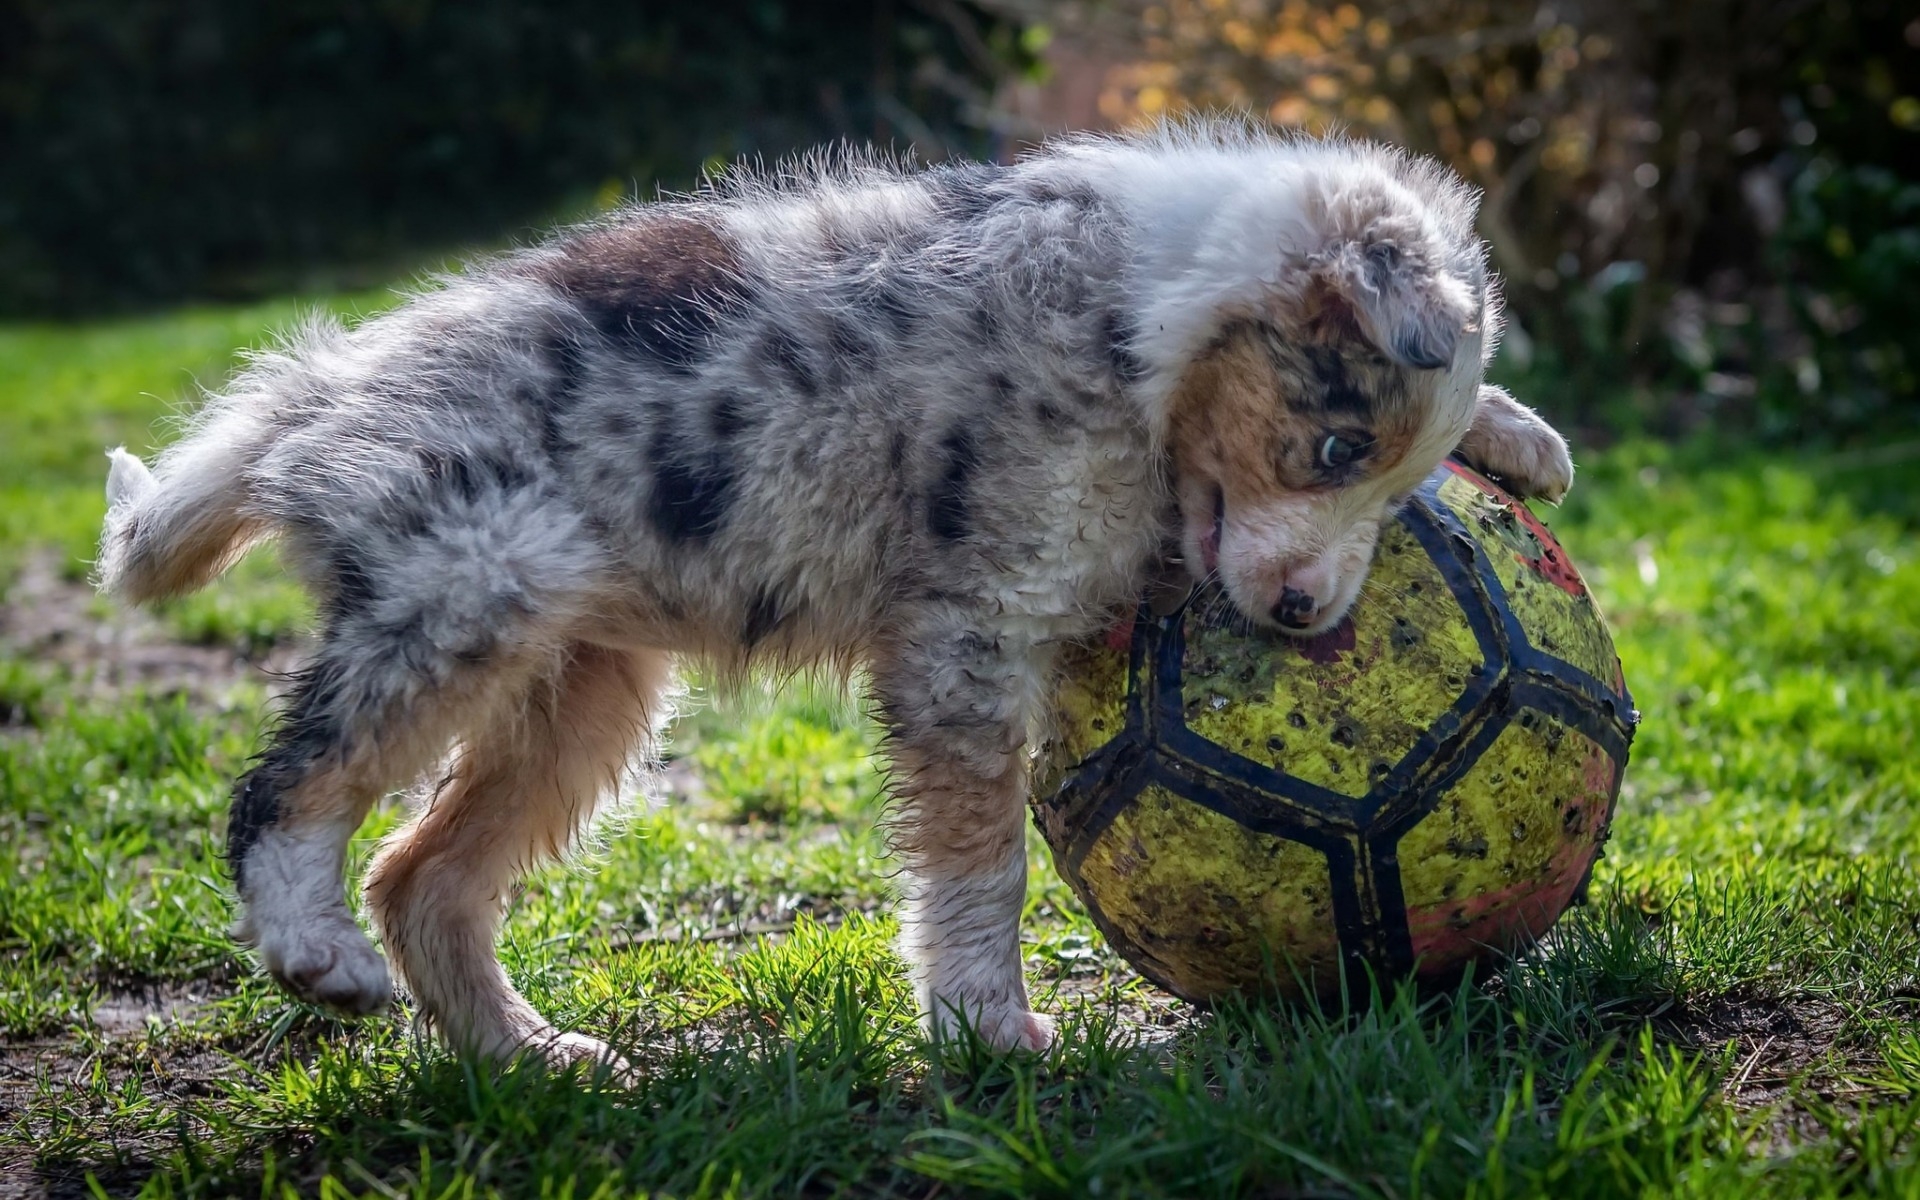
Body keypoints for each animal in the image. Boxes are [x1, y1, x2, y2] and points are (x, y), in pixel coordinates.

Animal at [97, 121, 1574, 1075]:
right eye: (1331, 449)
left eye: (1394, 483)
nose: (1309, 621)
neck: (1135, 321)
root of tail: (315, 398)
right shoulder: (973, 627)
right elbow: (980, 856)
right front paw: (987, 1028)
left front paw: (1520, 431)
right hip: (463, 593)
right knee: (285, 789)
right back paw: (312, 947)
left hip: (586, 683)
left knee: (422, 877)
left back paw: (529, 1059)